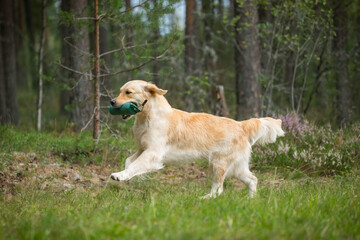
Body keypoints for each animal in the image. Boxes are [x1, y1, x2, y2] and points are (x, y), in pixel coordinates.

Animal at [109, 79, 284, 198]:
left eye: (128, 92)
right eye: (120, 91)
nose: (111, 101)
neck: (148, 117)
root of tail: (241, 125)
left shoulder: (153, 153)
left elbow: (134, 166)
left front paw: (120, 175)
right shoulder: (141, 149)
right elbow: (129, 162)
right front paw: (126, 177)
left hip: (218, 163)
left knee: (219, 189)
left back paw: (204, 199)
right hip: (236, 167)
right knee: (253, 179)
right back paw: (250, 199)